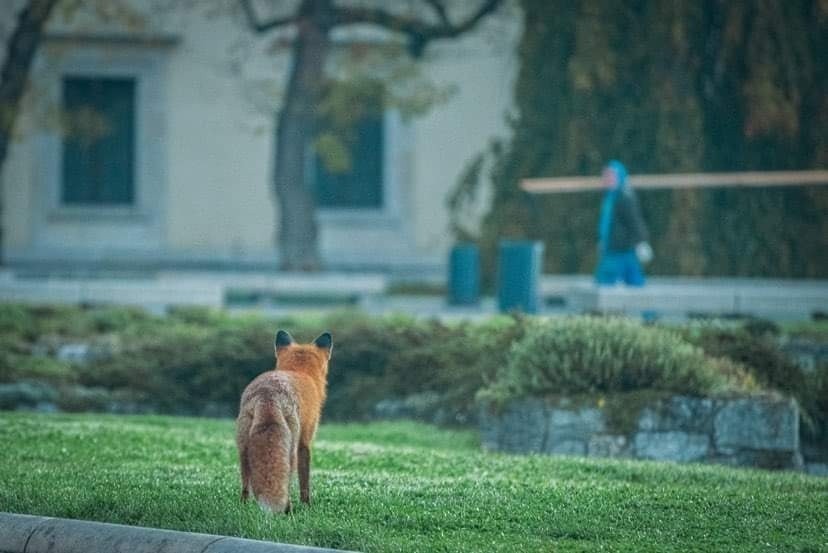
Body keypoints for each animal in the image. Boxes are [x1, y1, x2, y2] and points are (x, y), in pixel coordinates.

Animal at [234, 328, 332, 512]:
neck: (301, 372)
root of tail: (267, 393)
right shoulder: (305, 441)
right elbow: (305, 481)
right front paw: (307, 505)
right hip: (290, 449)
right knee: (285, 482)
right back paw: (288, 510)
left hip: (243, 448)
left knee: (245, 486)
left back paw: (244, 507)